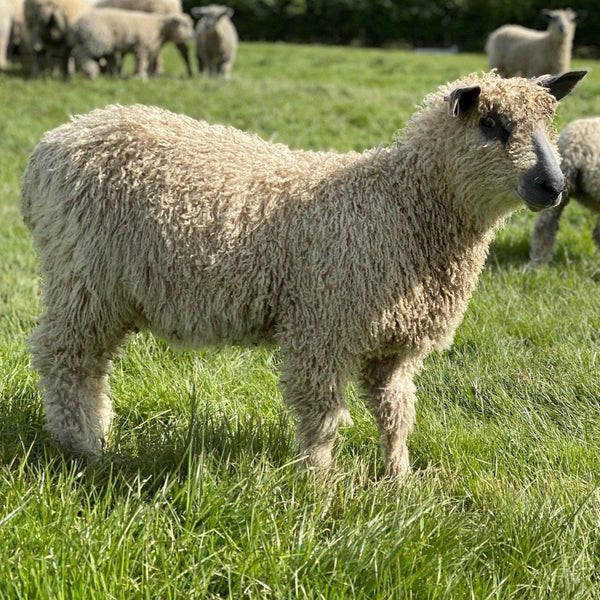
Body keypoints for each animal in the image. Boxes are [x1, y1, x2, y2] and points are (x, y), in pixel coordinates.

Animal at [20, 70, 586, 476]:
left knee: (89, 365)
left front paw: (399, 481)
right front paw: (319, 487)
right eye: (492, 125)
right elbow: (322, 420)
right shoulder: (323, 326)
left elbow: (397, 415)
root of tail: (53, 144)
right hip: (84, 276)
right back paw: (84, 448)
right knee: (64, 358)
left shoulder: (394, 346)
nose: (553, 185)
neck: (401, 206)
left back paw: (97, 434)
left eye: (548, 125)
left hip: (101, 288)